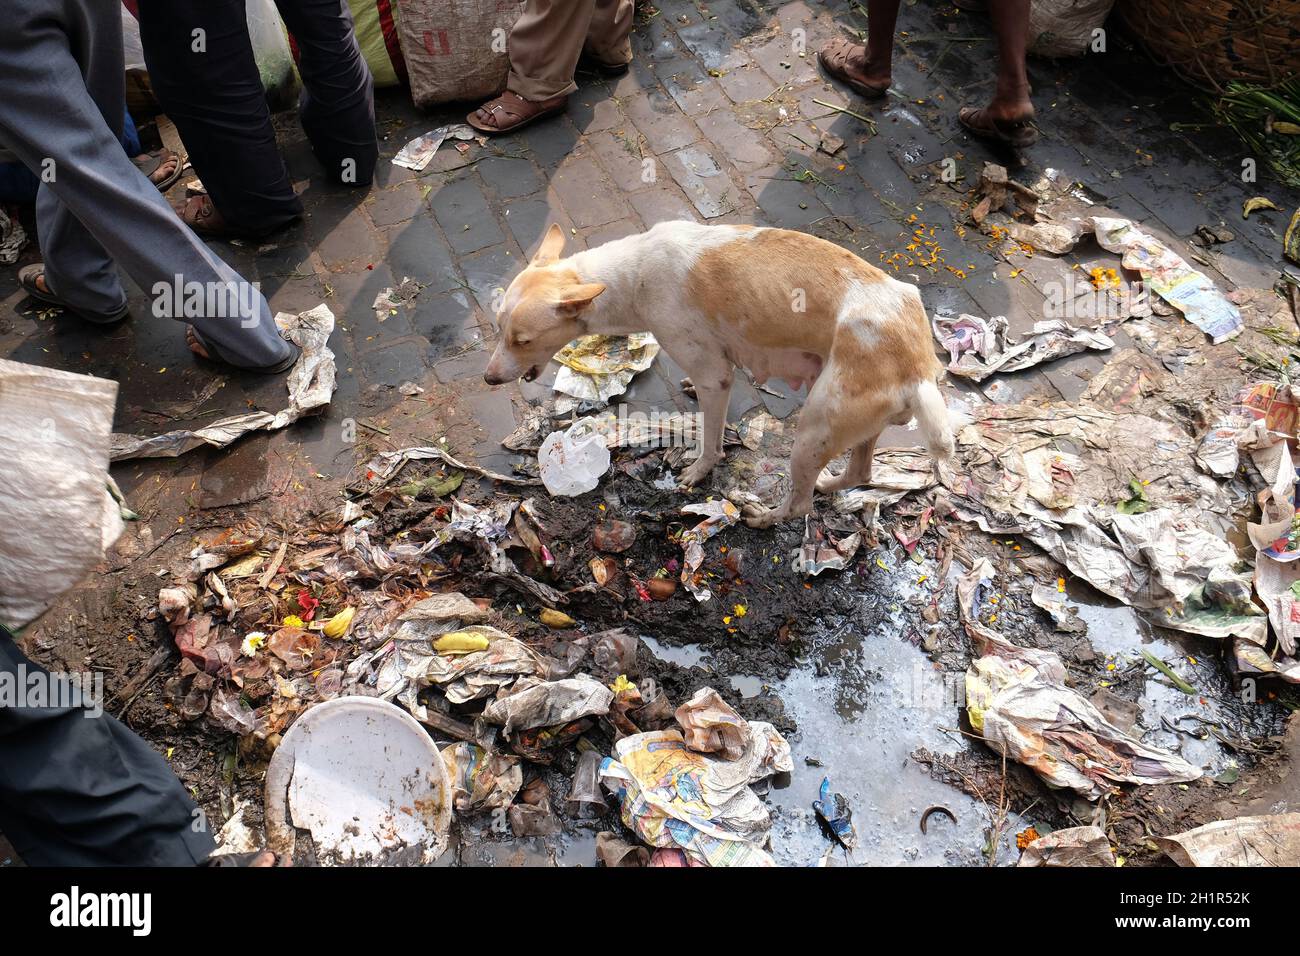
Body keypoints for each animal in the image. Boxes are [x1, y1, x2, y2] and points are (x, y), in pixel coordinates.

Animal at [488, 221, 956, 528]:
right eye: (498, 327)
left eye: (522, 339)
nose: (489, 379)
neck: (633, 275)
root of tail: (919, 365)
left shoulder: (717, 377)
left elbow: (711, 441)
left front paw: (697, 472)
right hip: (853, 429)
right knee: (860, 474)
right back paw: (829, 485)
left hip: (812, 431)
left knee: (800, 505)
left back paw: (764, 517)